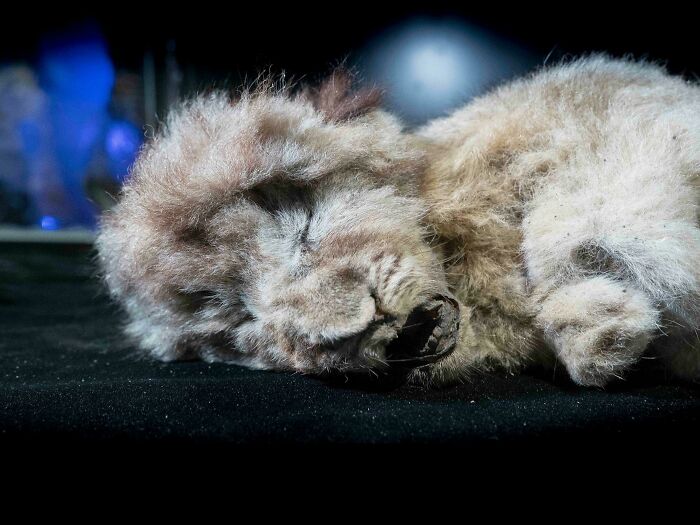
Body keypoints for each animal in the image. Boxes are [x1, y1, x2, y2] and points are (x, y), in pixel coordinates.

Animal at [97, 56, 700, 387]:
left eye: (302, 226)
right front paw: (607, 333)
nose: (358, 328)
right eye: (240, 324)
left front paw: (604, 325)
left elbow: (573, 217)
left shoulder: (616, 114)